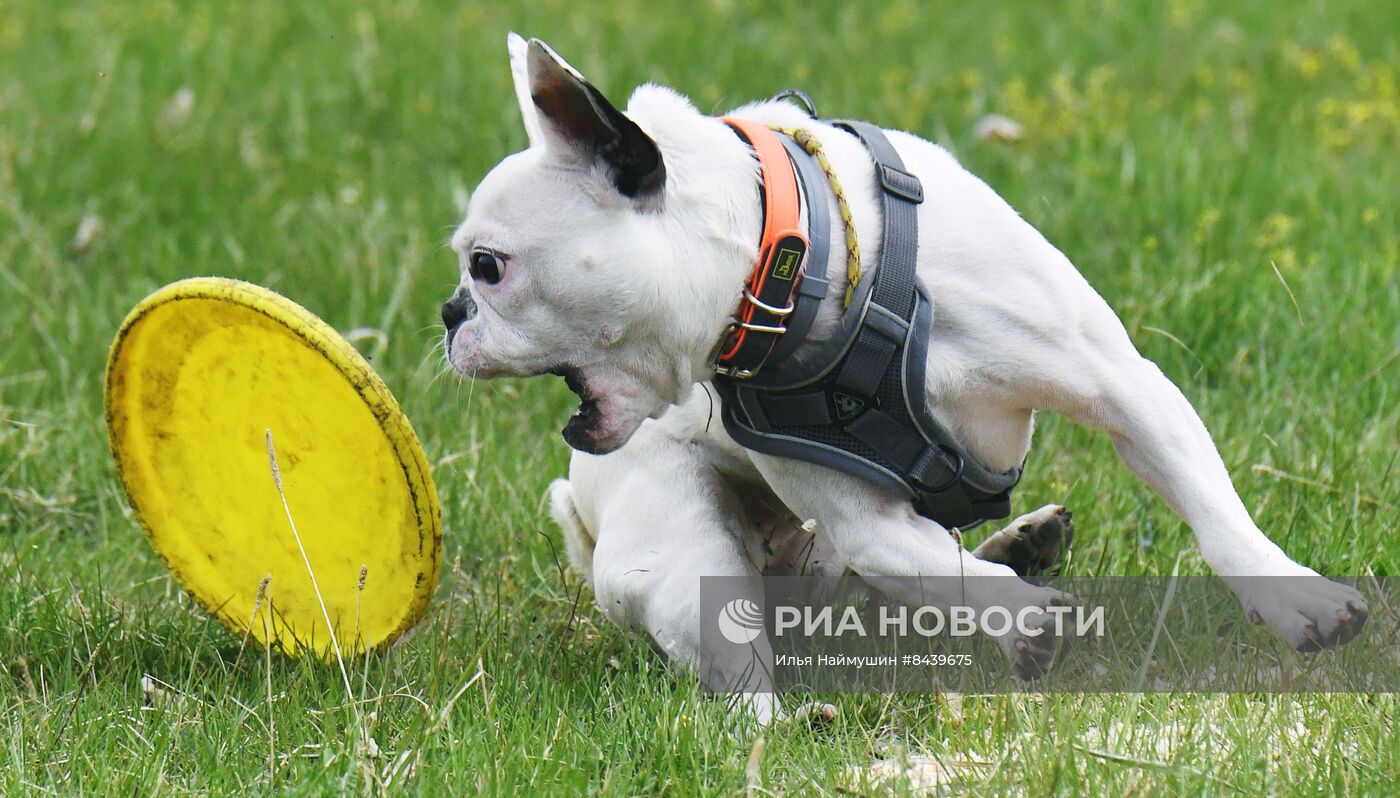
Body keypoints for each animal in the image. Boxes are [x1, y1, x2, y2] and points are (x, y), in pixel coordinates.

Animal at [445, 35, 1366, 722]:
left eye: (488, 266)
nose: (451, 312)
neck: (811, 266)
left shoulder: (1124, 390)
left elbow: (1217, 516)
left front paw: (1299, 600)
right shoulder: (865, 522)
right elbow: (936, 568)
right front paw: (1021, 618)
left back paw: (1023, 543)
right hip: (691, 560)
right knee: (751, 674)